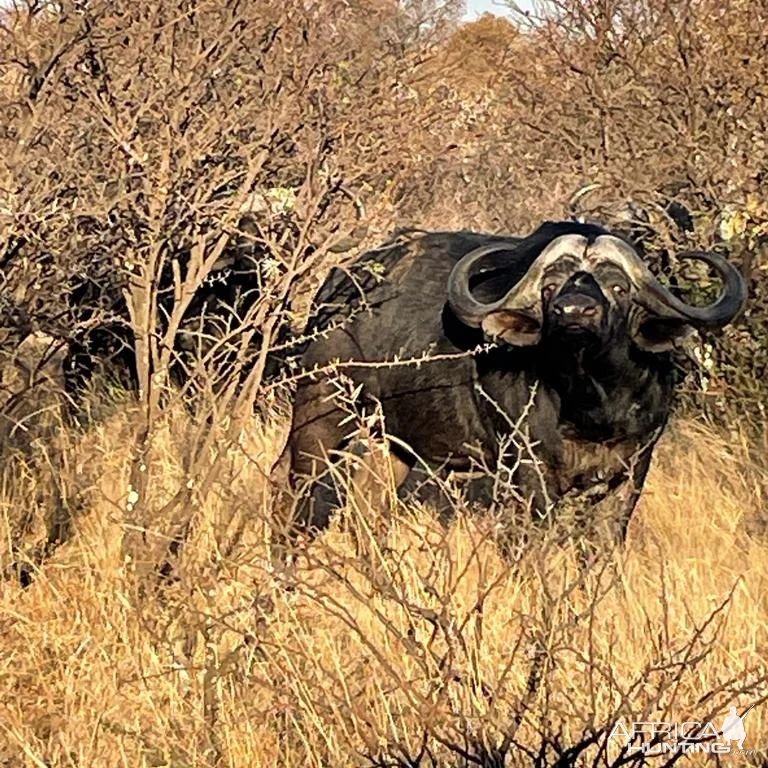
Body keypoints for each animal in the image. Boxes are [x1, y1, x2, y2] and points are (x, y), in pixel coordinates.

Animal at [280, 219, 748, 544]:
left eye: (617, 287)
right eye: (551, 285)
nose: (574, 312)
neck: (591, 406)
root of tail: (339, 289)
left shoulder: (632, 473)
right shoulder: (529, 470)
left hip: (399, 445)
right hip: (322, 416)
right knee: (300, 494)